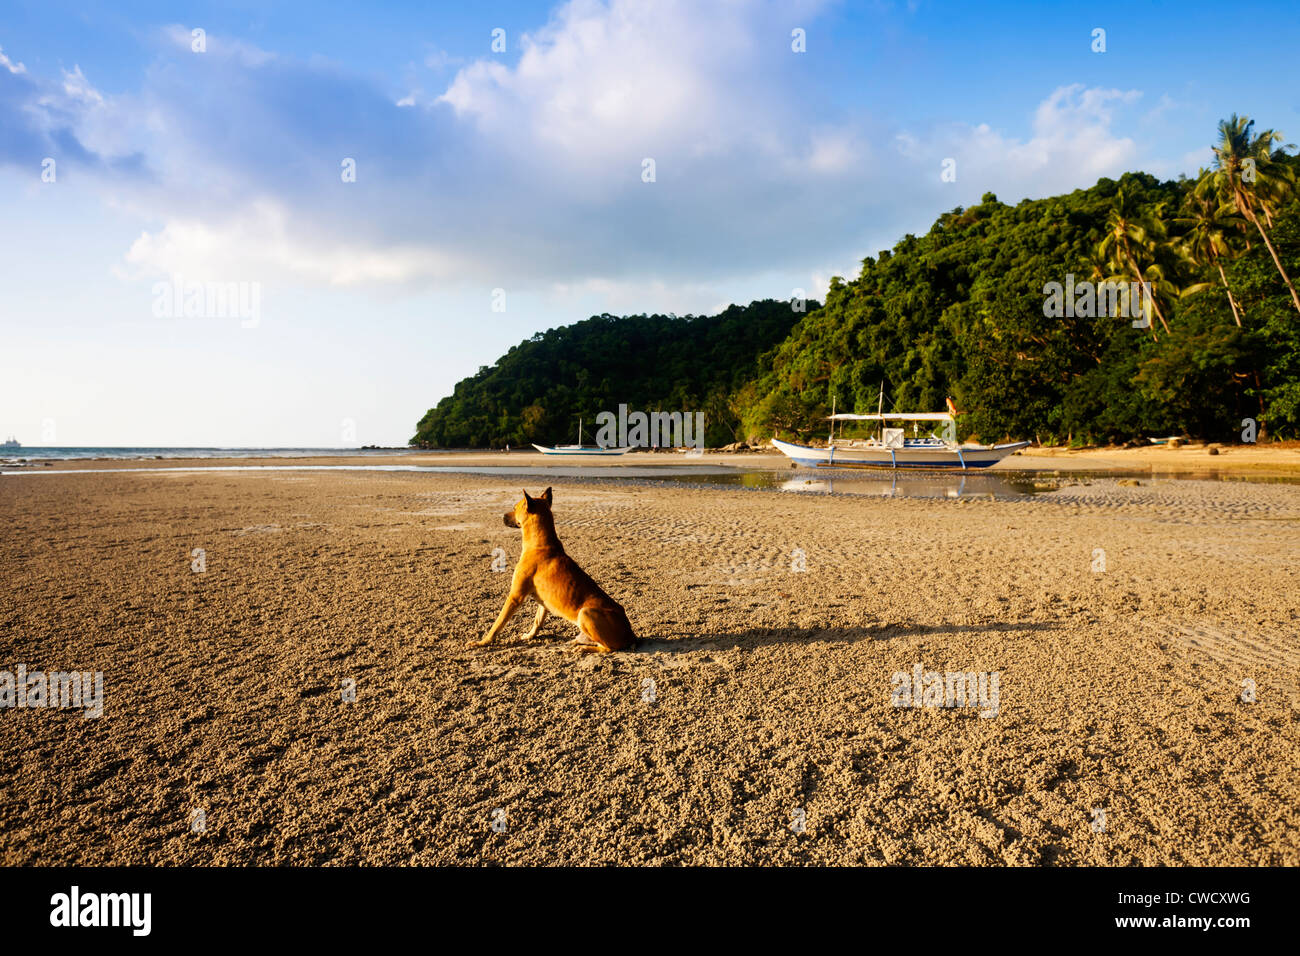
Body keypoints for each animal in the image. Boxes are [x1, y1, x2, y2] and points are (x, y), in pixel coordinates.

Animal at [478, 489, 639, 655]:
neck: (540, 544)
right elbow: (537, 621)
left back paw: (583, 648)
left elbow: (498, 624)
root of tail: (630, 634)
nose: (502, 516)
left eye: (514, 508)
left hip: (586, 613)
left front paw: (483, 642)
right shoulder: (543, 602)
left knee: (607, 648)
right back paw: (577, 641)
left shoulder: (515, 597)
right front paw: (529, 636)